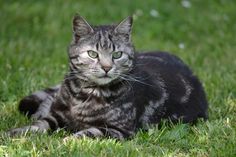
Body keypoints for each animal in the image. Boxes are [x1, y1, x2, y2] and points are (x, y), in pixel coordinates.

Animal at [6, 14, 207, 139]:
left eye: (117, 54)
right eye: (92, 54)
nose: (106, 67)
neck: (85, 94)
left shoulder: (118, 130)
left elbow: (88, 133)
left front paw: (69, 140)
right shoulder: (57, 116)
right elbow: (37, 125)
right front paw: (14, 133)